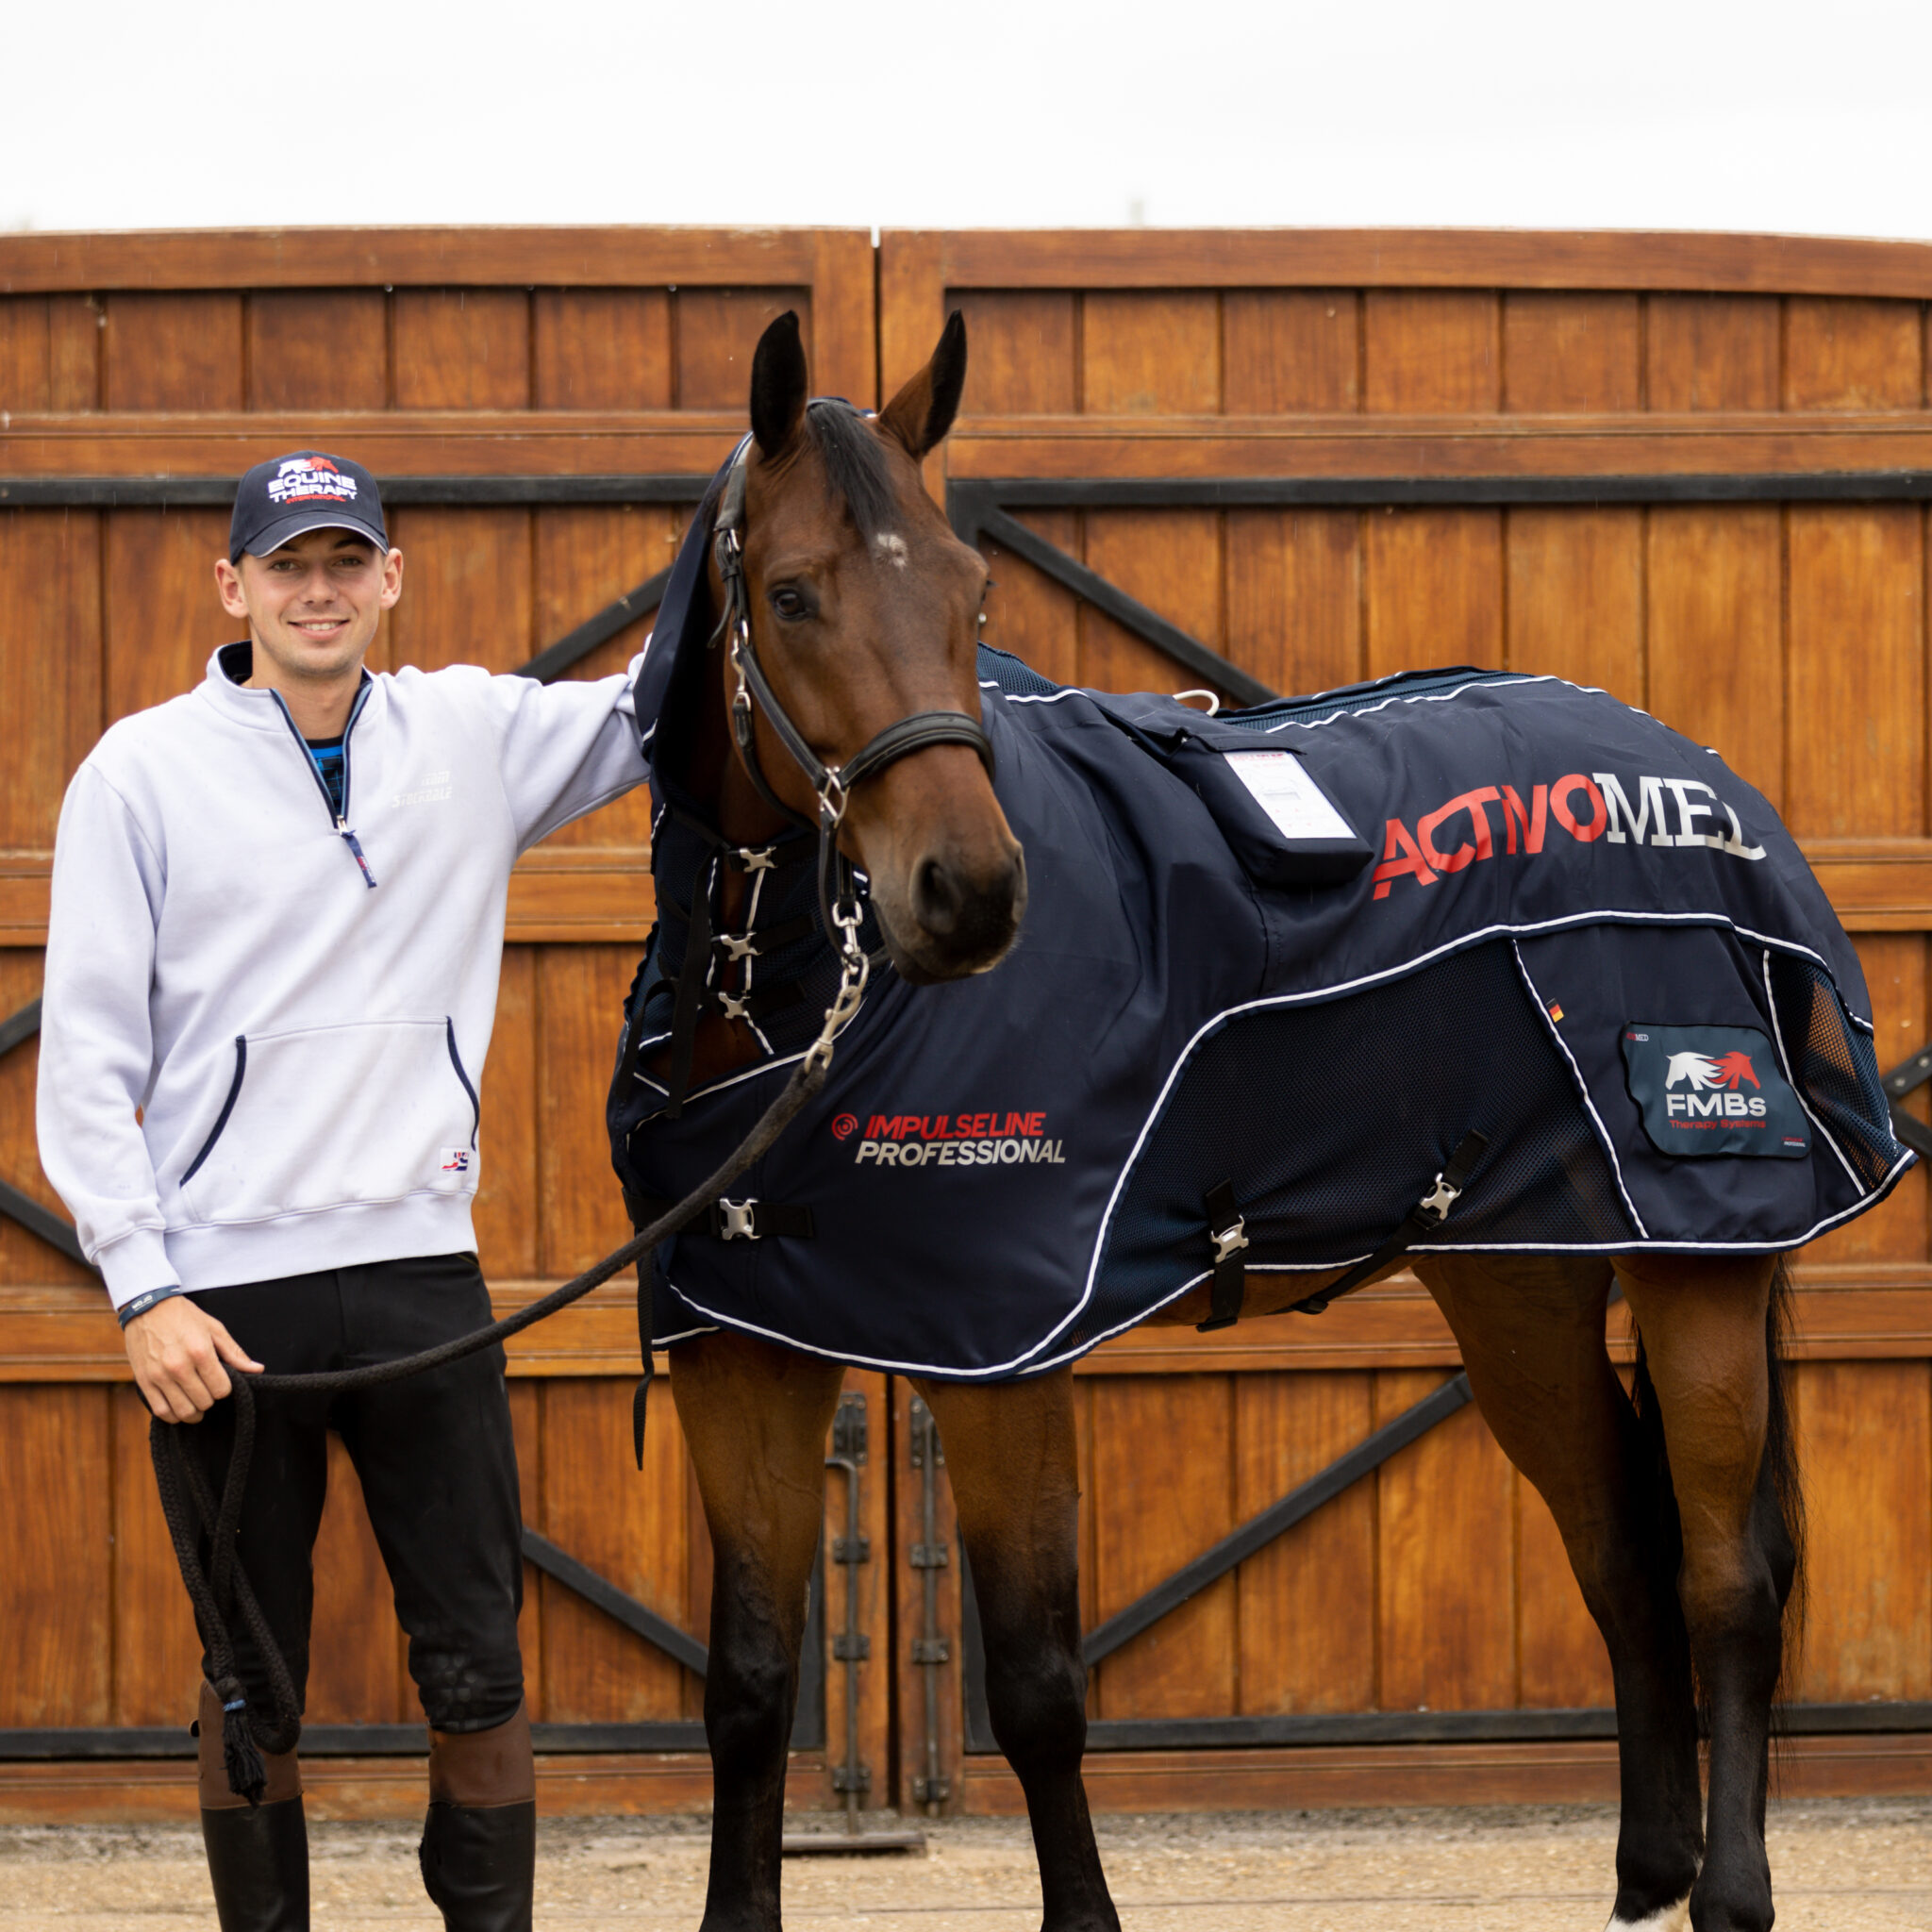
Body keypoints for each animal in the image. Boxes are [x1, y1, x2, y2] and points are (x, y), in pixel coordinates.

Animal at [634, 309, 1818, 1932]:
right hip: (1518, 1286)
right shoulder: (744, 1347)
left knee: (1723, 1576)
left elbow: (1038, 1687)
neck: (792, 1001)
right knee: (1621, 1549)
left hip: (1700, 1262)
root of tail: (1701, 785)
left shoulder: (1006, 1360)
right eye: (794, 592)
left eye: (972, 591)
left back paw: (1731, 1892)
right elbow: (749, 1687)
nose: (971, 893)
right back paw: (1648, 1873)